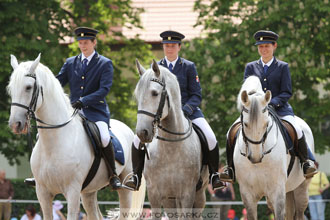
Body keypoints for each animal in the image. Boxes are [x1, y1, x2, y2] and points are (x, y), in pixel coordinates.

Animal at [6, 54, 145, 220]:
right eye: (11, 88)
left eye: (28, 87)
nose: (15, 124)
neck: (54, 143)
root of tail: (128, 130)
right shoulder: (42, 192)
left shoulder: (72, 191)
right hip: (89, 192)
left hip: (124, 190)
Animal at [235, 75, 312, 218]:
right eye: (246, 124)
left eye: (266, 124)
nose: (256, 156)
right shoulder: (247, 194)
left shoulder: (277, 191)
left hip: (301, 187)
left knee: (299, 213)